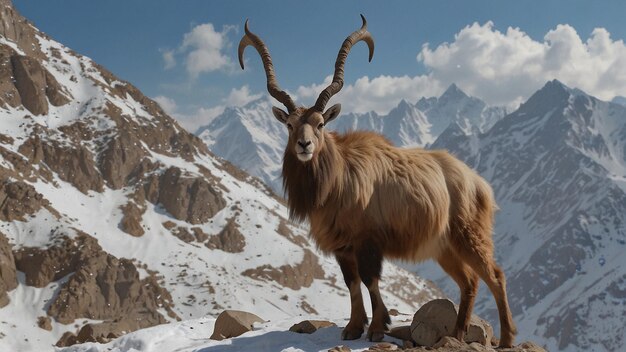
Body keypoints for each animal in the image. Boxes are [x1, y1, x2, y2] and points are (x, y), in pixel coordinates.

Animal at [236, 15, 516, 346]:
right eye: (290, 125)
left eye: (320, 123)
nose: (304, 146)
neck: (340, 178)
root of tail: (479, 183)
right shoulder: (343, 247)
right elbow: (351, 283)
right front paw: (353, 327)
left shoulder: (367, 241)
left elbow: (370, 280)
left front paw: (377, 327)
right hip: (444, 247)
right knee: (469, 281)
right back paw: (458, 333)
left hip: (470, 235)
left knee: (495, 275)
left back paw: (507, 339)